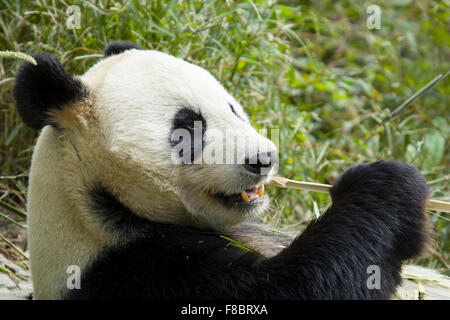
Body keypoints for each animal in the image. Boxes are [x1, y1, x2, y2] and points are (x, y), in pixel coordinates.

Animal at [13, 41, 428, 298]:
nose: (264, 158)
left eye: (231, 108)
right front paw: (386, 183)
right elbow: (299, 285)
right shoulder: (133, 271)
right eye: (187, 126)